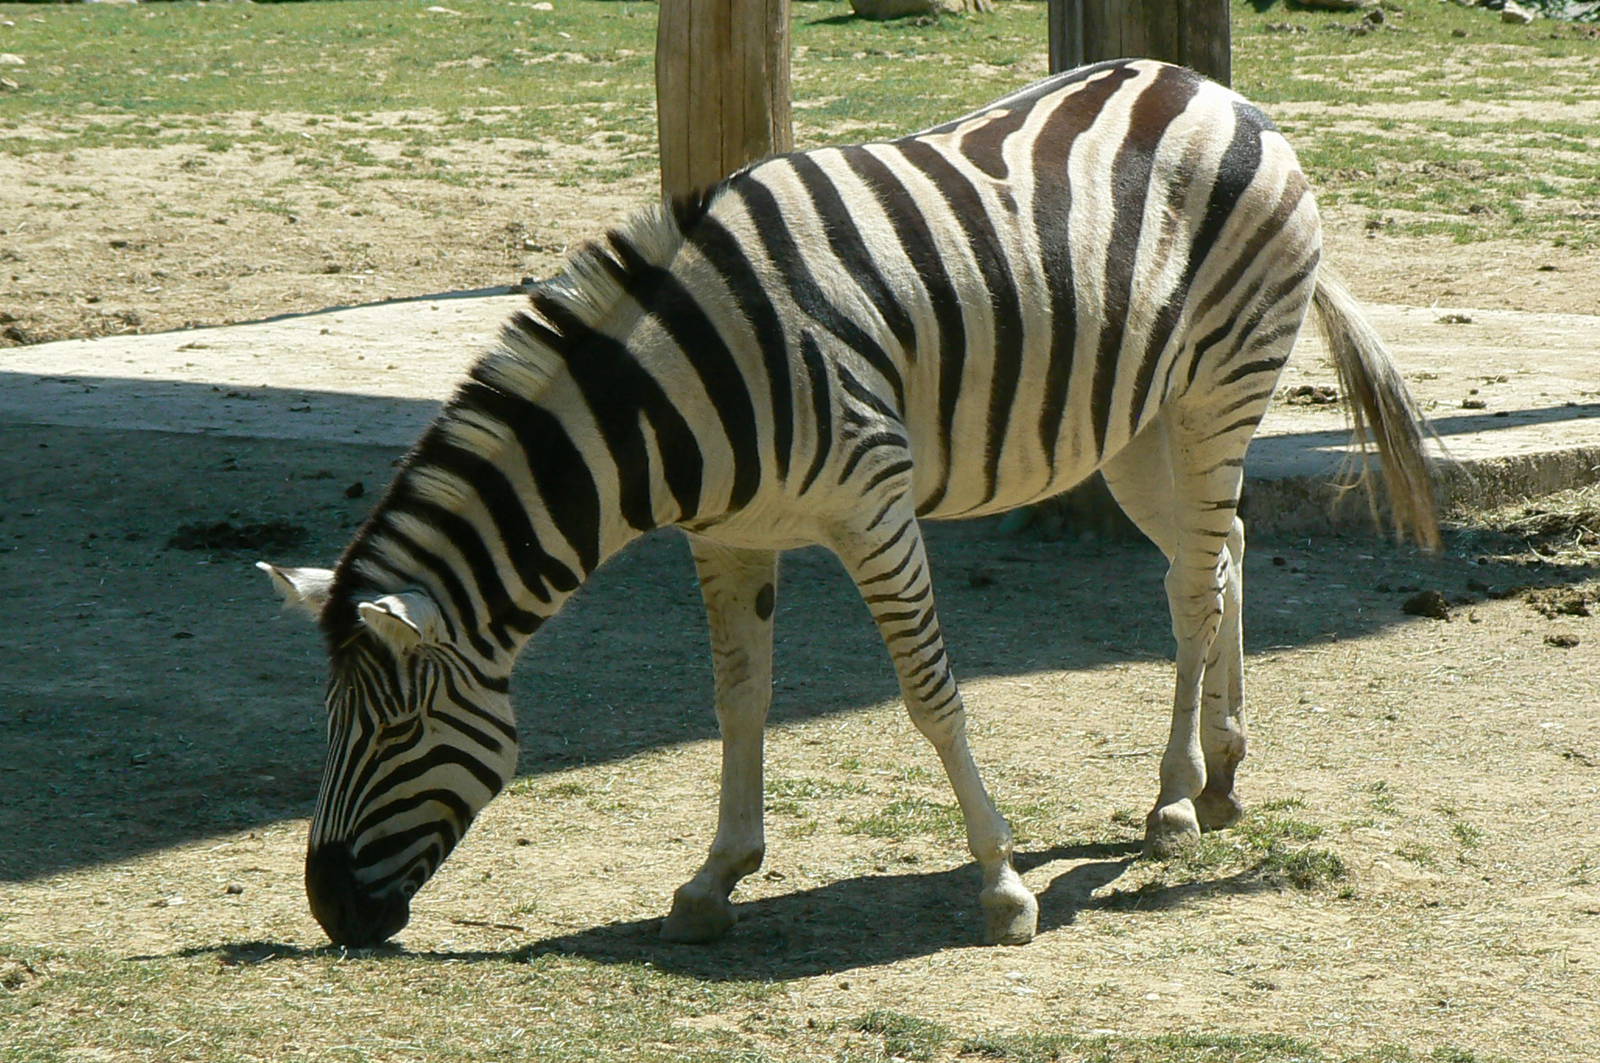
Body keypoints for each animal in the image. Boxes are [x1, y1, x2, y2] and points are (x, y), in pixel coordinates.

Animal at [261, 58, 1438, 949]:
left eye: (398, 728)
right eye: (328, 723)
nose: (331, 911)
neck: (673, 401)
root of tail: (1216, 91)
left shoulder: (874, 506)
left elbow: (931, 696)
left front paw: (1001, 883)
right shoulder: (727, 538)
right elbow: (738, 698)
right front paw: (714, 877)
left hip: (1219, 386)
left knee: (1195, 586)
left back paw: (1175, 801)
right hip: (1138, 428)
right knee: (1221, 550)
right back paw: (1227, 772)